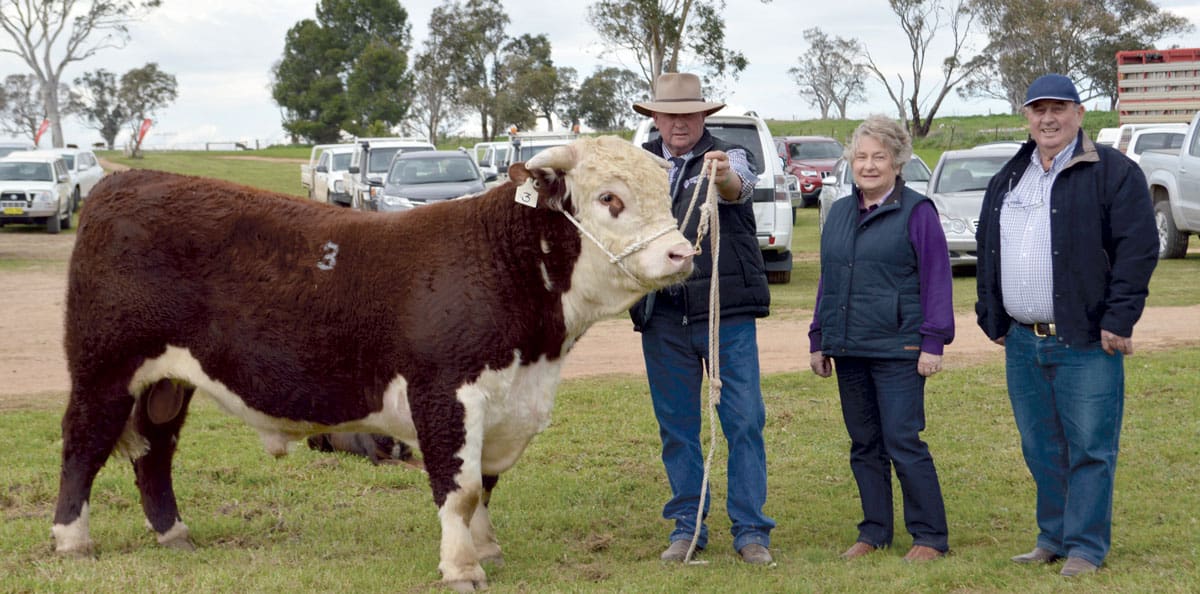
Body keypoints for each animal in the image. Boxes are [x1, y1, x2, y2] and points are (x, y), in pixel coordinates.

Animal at [51, 136, 700, 594]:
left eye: (665, 193)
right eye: (609, 199)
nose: (682, 253)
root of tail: (123, 183)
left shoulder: (503, 403)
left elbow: (485, 485)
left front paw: (486, 549)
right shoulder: (444, 394)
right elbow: (460, 488)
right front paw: (463, 568)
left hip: (165, 382)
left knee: (153, 451)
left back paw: (174, 535)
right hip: (104, 370)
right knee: (84, 443)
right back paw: (71, 541)